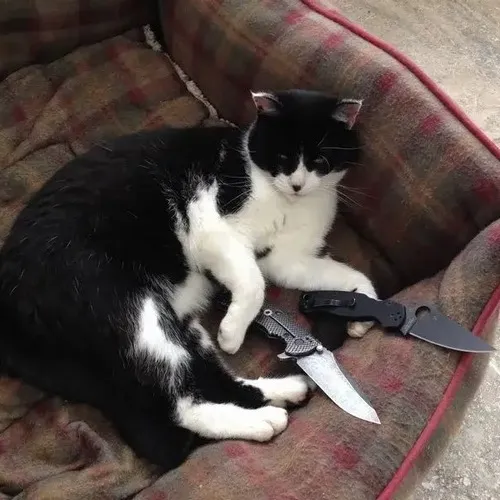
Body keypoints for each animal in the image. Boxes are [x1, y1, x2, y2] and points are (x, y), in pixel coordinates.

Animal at [0, 89, 377, 470]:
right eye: (281, 156)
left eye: (320, 160)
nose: (297, 184)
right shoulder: (211, 227)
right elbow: (253, 281)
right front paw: (232, 334)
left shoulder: (286, 260)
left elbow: (346, 276)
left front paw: (364, 311)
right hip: (135, 314)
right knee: (178, 407)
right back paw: (263, 421)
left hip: (180, 324)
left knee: (209, 381)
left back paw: (287, 390)